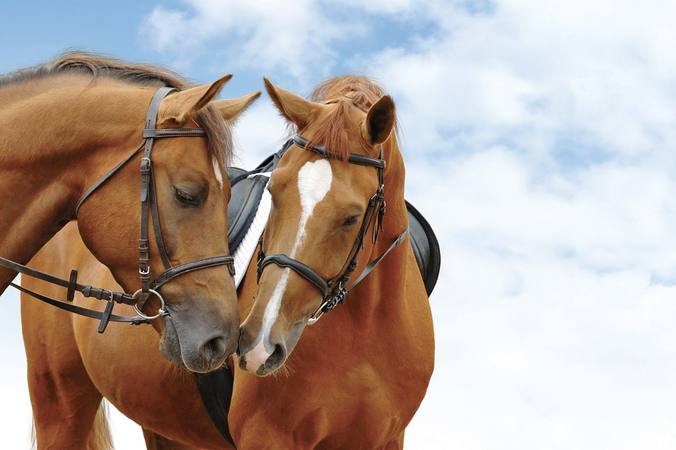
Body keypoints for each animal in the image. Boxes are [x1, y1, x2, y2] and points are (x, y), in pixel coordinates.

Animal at [22, 75, 434, 449]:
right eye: (274, 191)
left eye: (351, 217)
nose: (259, 343)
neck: (363, 328)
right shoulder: (267, 437)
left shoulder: (387, 439)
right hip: (59, 401)